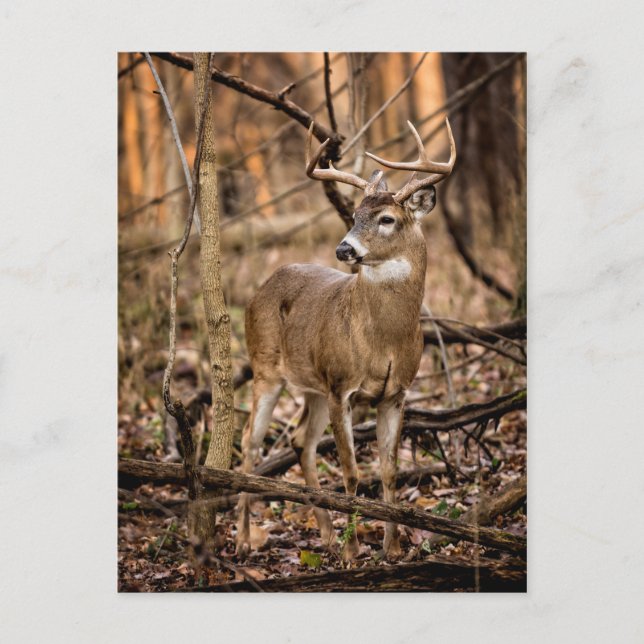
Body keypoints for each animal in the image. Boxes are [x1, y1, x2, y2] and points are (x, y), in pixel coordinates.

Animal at [236, 119, 456, 561]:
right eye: (353, 214)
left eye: (386, 219)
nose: (343, 248)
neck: (384, 341)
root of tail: (260, 289)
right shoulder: (343, 387)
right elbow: (352, 473)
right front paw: (354, 551)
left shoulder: (396, 394)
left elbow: (389, 471)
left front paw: (392, 548)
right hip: (266, 367)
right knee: (250, 442)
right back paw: (244, 540)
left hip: (314, 386)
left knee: (301, 441)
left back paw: (324, 534)